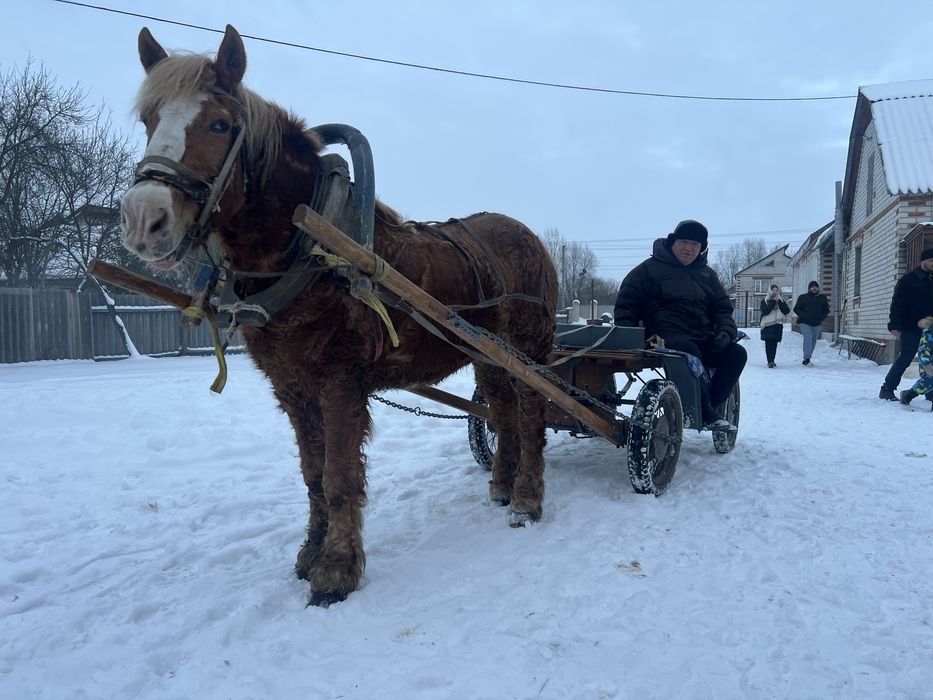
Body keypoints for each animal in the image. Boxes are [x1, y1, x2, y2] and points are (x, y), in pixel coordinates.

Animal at [119, 25, 558, 606]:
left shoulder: (339, 384)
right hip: (485, 352)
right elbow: (312, 475)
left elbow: (339, 478)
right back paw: (503, 486)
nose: (144, 219)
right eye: (149, 120)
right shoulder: (292, 386)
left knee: (531, 412)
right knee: (503, 411)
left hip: (528, 348)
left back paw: (528, 498)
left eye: (220, 124)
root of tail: (529, 235)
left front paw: (336, 570)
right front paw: (310, 553)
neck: (311, 249)